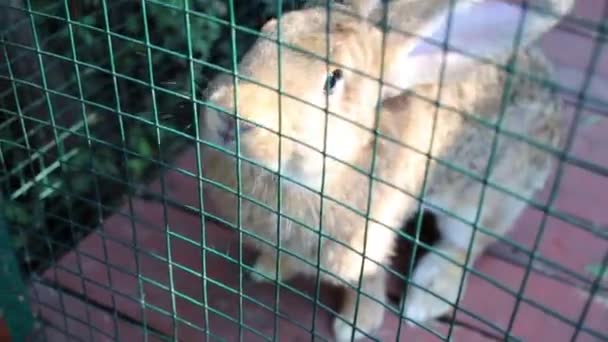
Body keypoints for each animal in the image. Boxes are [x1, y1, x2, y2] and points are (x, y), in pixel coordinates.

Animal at [198, 0, 576, 340]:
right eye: (267, 31)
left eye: (332, 80)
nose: (230, 117)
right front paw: (267, 269)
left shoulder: (370, 244)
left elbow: (368, 283)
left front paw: (354, 327)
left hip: (484, 201)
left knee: (468, 245)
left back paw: (426, 297)